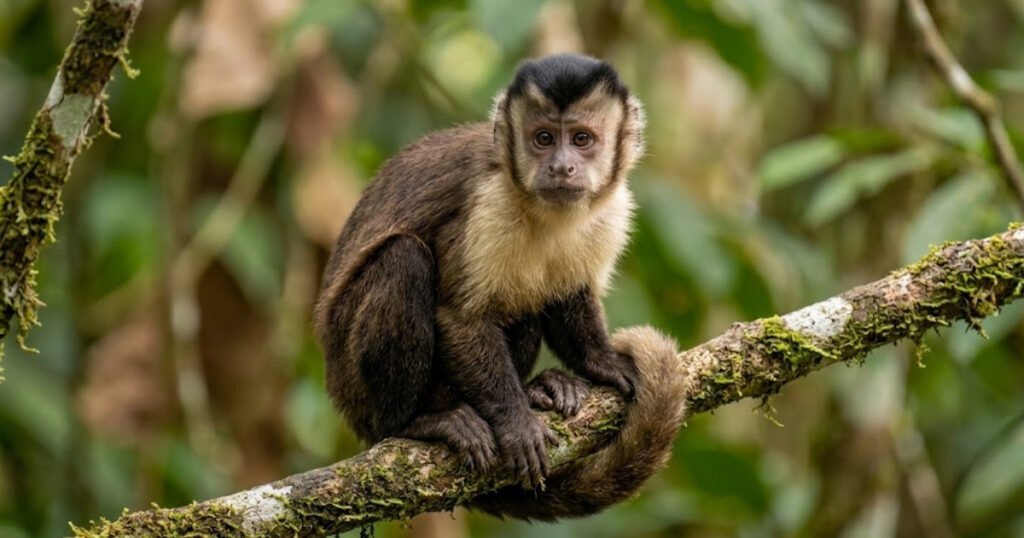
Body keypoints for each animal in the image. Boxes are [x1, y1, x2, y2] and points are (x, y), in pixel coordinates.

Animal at [314, 53, 688, 520]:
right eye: (543, 138)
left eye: (582, 139)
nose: (561, 166)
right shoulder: (487, 202)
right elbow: (461, 316)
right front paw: (515, 421)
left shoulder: (614, 209)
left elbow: (570, 293)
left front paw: (603, 362)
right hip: (355, 389)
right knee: (404, 259)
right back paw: (417, 422)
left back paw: (541, 389)